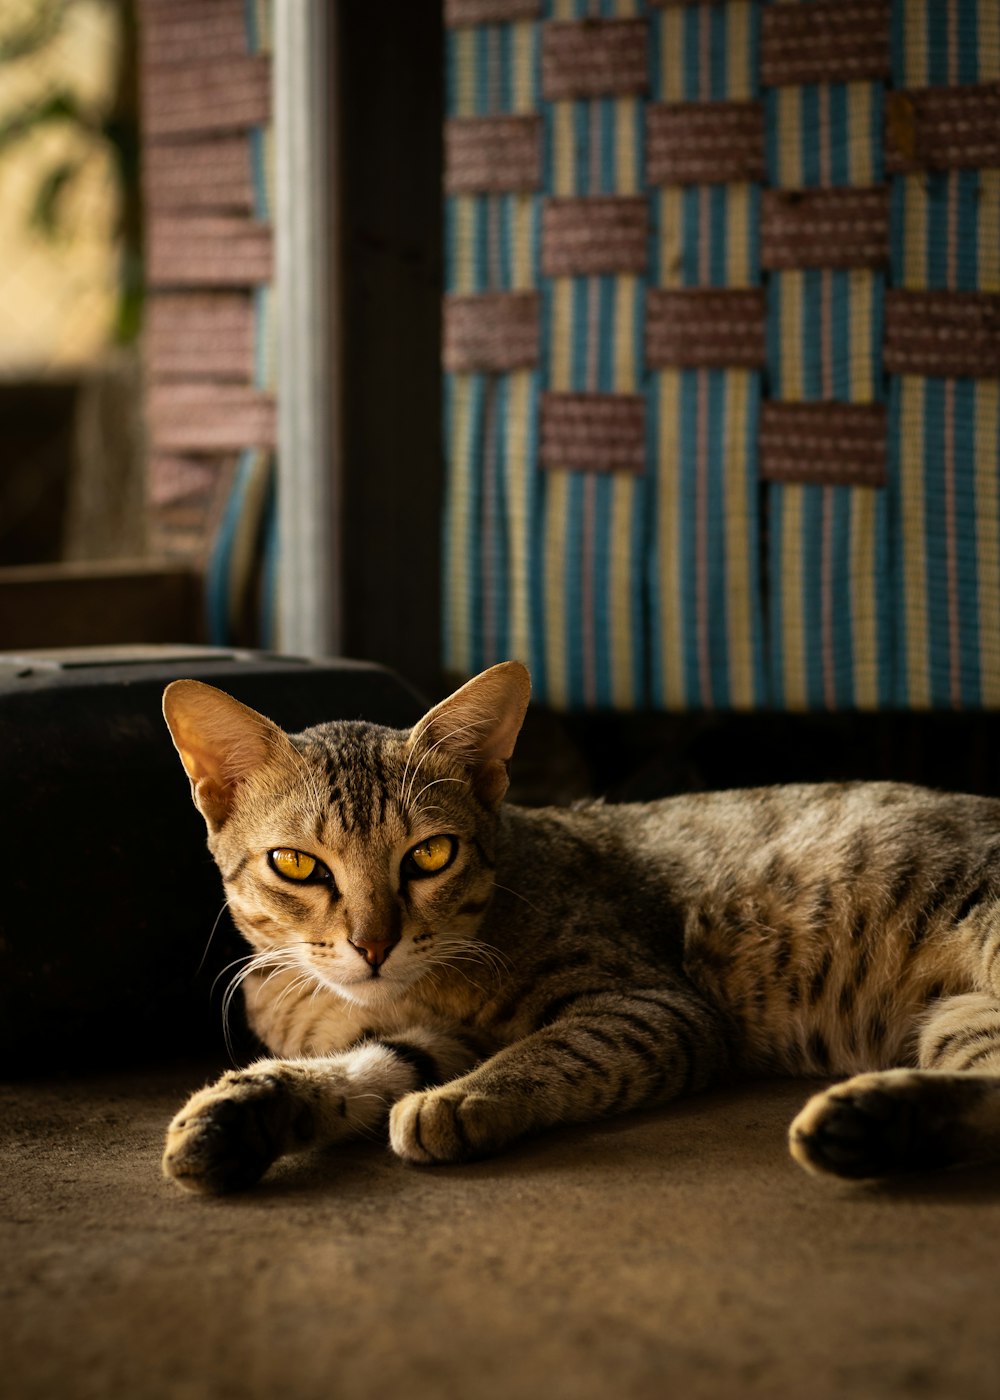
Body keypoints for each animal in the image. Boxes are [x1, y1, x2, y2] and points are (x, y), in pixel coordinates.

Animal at [159, 663, 997, 1192]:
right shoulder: (431, 1040)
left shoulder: (654, 1007)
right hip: (957, 1018)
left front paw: (461, 1102)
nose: (373, 944)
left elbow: (551, 1051)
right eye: (297, 865)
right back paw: (876, 1124)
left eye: (430, 854)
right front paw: (242, 1112)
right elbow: (365, 1067)